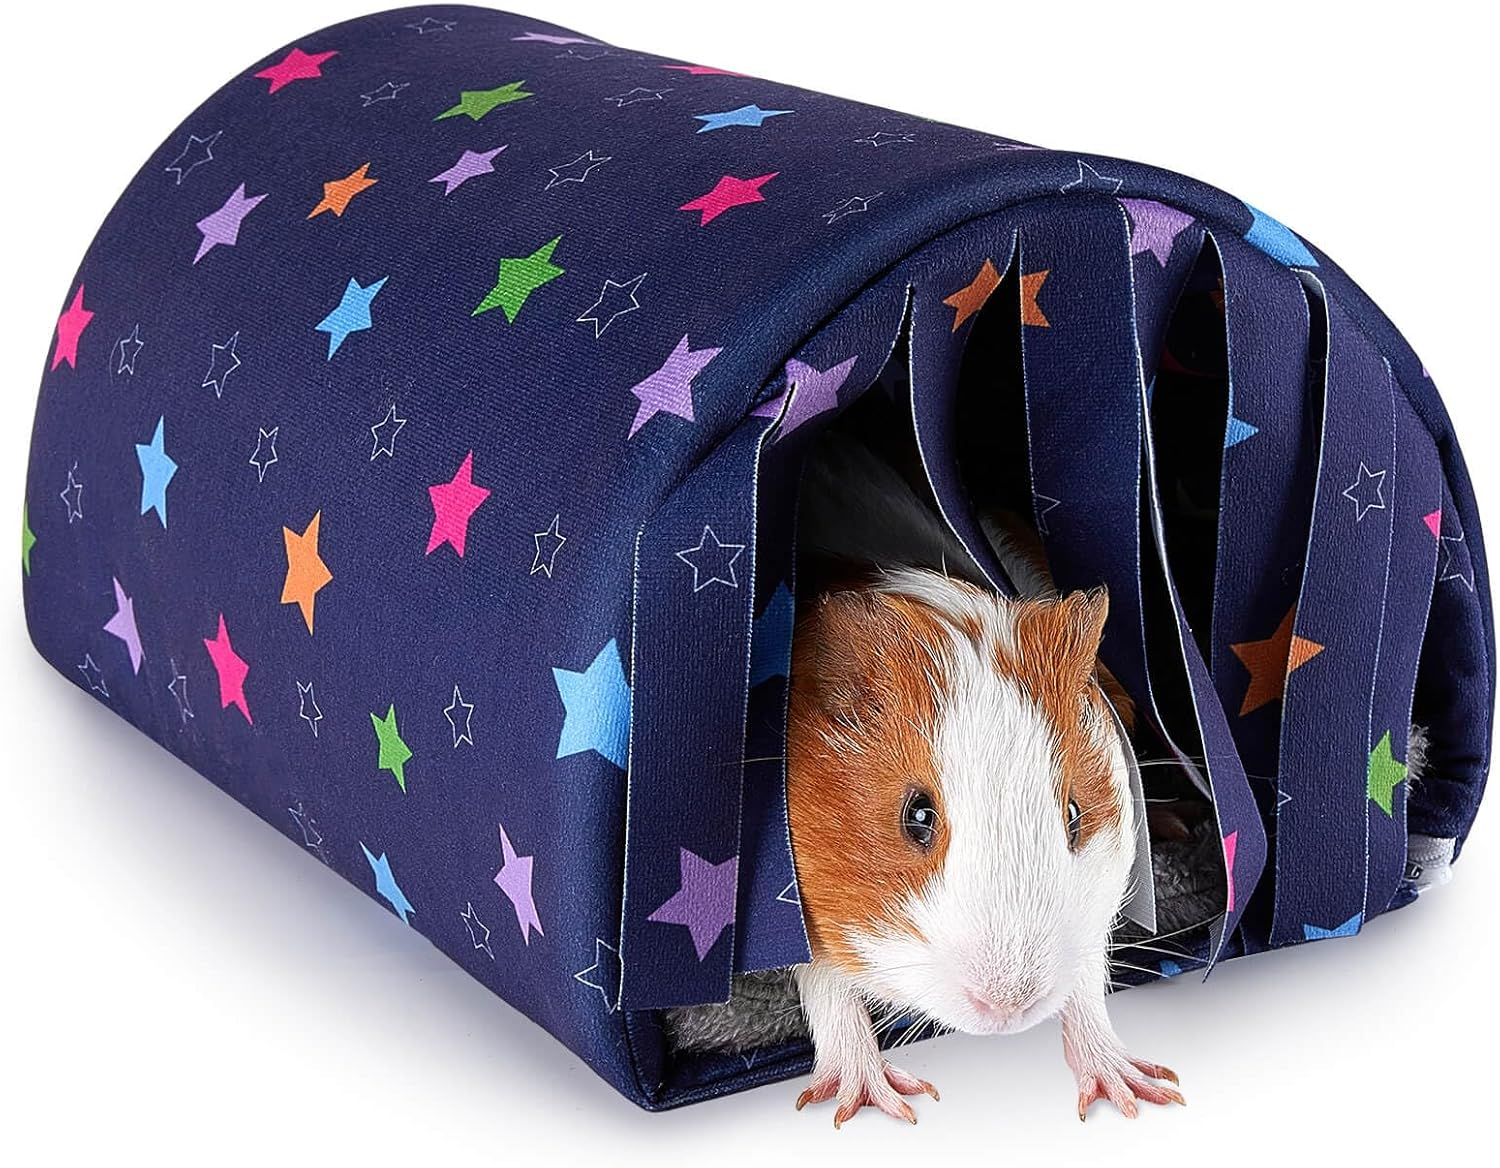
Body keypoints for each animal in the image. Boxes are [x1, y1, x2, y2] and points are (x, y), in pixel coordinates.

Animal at [784, 434, 1182, 1125]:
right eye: (916, 816)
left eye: (1074, 814)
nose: (1010, 1004)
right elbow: (828, 986)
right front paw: (878, 1100)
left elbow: (1087, 984)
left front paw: (1134, 1090)